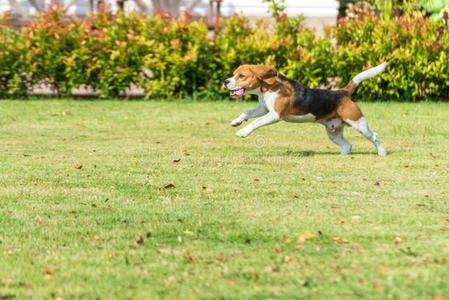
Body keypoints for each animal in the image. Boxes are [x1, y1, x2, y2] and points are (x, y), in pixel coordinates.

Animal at [222, 63, 386, 157]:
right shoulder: (263, 107)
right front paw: (237, 121)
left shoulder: (275, 115)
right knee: (348, 145)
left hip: (358, 123)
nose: (225, 81)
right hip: (333, 132)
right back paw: (341, 156)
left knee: (374, 136)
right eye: (234, 74)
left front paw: (243, 132)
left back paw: (382, 152)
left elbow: (256, 122)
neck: (269, 87)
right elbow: (247, 112)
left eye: (242, 76)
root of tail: (343, 92)